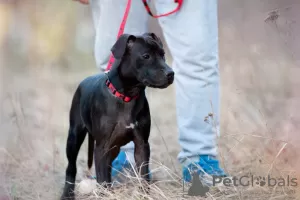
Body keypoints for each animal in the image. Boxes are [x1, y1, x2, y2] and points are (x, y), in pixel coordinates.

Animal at [60, 32, 175, 199]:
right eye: (146, 56)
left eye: (163, 54)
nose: (170, 74)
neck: (127, 95)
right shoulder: (101, 147)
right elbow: (102, 177)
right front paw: (105, 194)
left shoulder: (141, 144)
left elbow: (143, 175)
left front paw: (144, 194)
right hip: (74, 136)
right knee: (71, 166)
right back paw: (67, 194)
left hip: (114, 148)